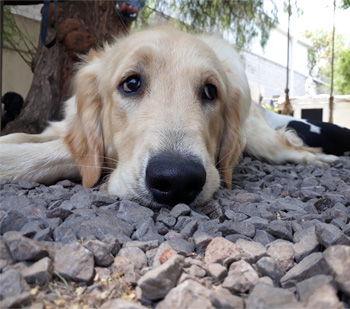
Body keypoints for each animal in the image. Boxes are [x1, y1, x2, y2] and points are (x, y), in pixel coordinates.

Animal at [0, 26, 340, 208]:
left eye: (210, 91)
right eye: (131, 83)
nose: (177, 179)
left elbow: (48, 153)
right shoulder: (64, 127)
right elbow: (26, 136)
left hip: (262, 142)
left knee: (293, 147)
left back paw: (322, 158)